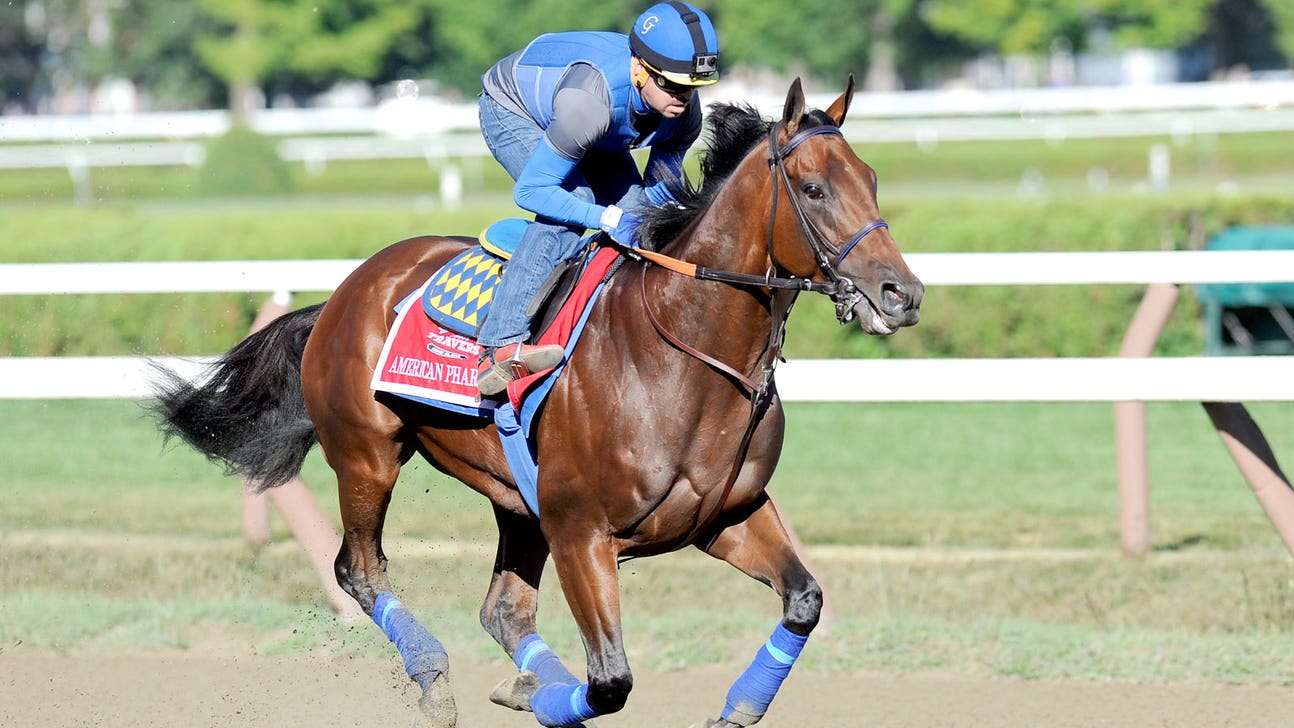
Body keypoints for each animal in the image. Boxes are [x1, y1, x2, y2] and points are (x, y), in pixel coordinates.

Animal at [153, 77, 923, 728]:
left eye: (872, 180)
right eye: (814, 188)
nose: (902, 294)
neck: (684, 357)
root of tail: (345, 290)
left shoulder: (724, 514)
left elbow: (805, 600)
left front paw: (737, 706)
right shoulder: (581, 528)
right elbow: (610, 681)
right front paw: (546, 695)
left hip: (515, 501)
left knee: (503, 611)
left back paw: (525, 677)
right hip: (368, 455)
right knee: (358, 570)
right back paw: (437, 678)